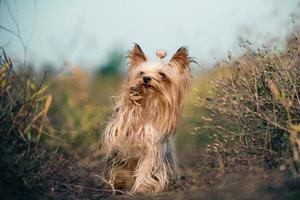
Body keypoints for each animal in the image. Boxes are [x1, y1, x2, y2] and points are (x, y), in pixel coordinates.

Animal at [102, 43, 192, 194]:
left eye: (162, 75)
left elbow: (146, 167)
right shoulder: (119, 133)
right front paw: (133, 97)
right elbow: (124, 116)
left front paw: (142, 188)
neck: (149, 102)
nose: (146, 79)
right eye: (141, 73)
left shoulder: (153, 149)